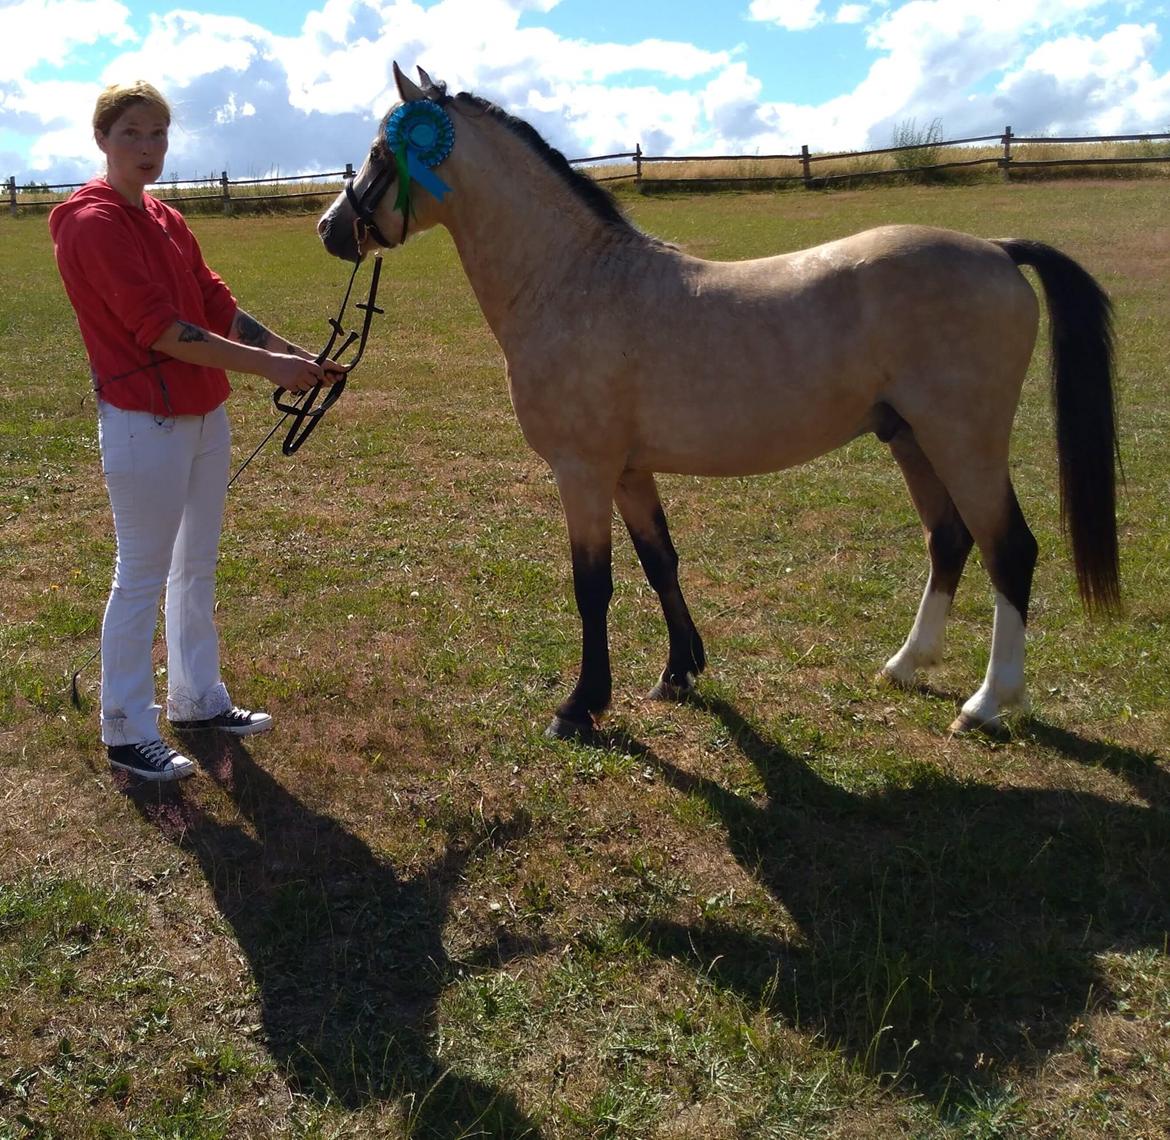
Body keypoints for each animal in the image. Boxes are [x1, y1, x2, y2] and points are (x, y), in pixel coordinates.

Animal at [317, 64, 1120, 742]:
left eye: (381, 154)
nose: (330, 229)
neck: (572, 278)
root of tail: (996, 249)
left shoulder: (582, 472)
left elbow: (593, 585)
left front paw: (581, 706)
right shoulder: (629, 472)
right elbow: (660, 562)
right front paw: (680, 672)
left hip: (963, 441)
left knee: (1010, 550)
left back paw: (987, 704)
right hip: (912, 439)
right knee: (950, 540)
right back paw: (905, 665)